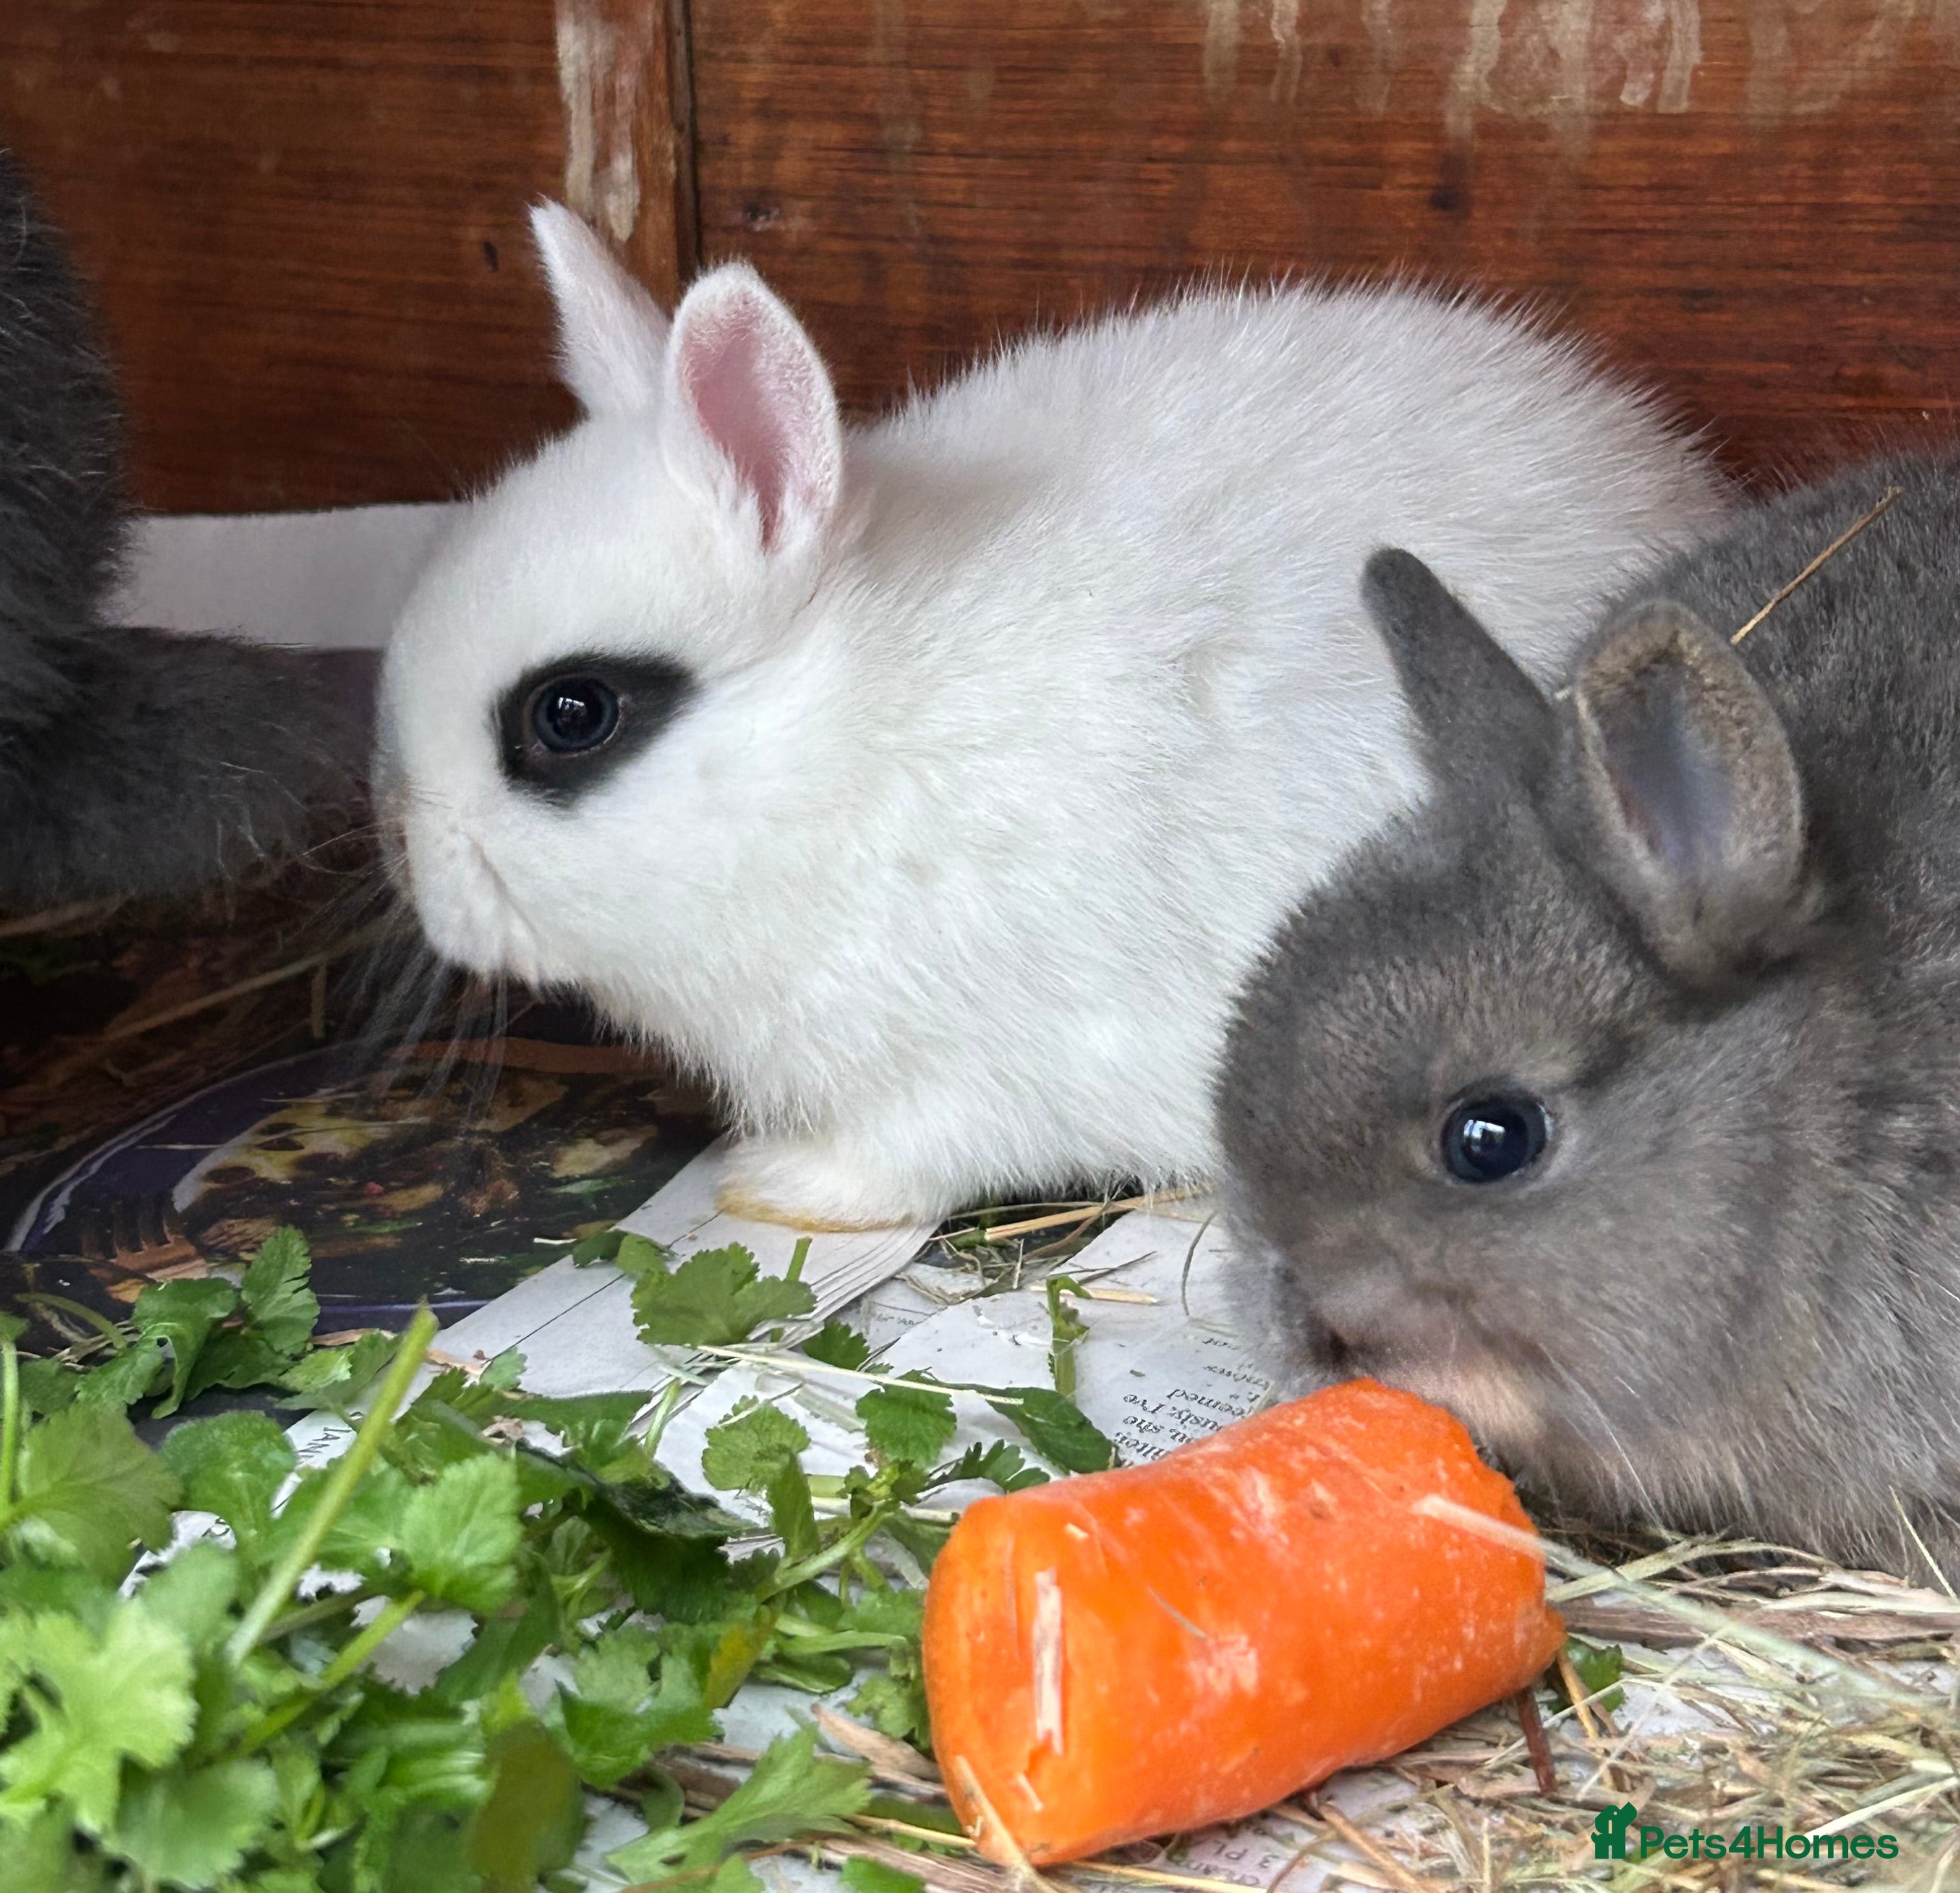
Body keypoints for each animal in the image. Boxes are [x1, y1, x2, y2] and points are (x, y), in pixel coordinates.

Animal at [376, 199, 1729, 1230]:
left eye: (571, 714)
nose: (424, 891)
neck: (836, 747)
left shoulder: (963, 1067)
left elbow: (906, 1154)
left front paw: (772, 1190)